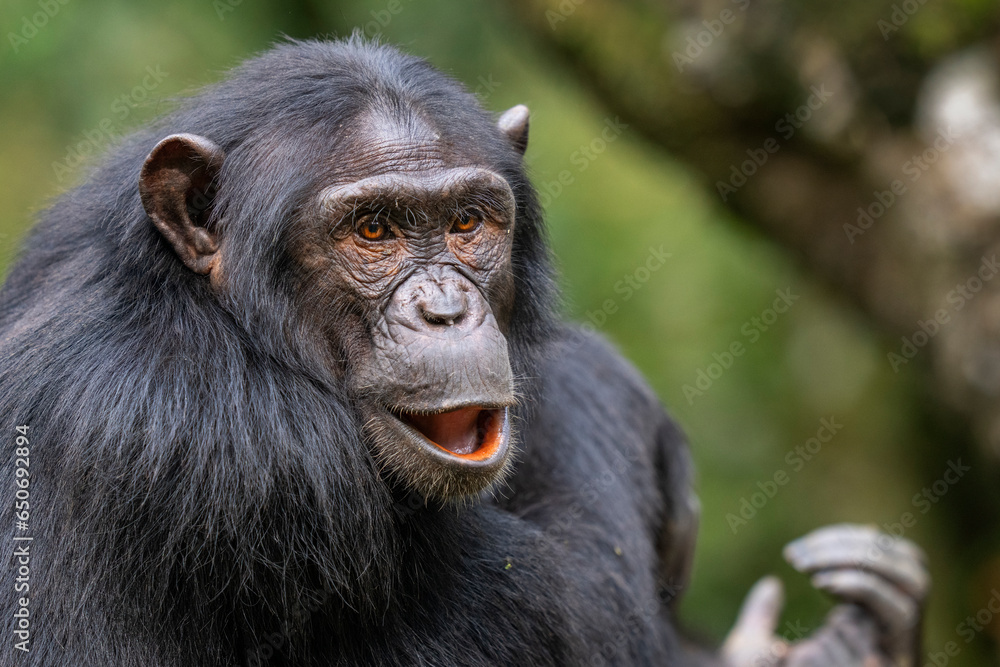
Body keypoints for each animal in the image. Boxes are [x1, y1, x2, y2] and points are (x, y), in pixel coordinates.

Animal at [0, 37, 924, 667]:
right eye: (372, 230)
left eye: (468, 222)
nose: (446, 309)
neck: (215, 318)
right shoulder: (240, 461)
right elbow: (593, 613)